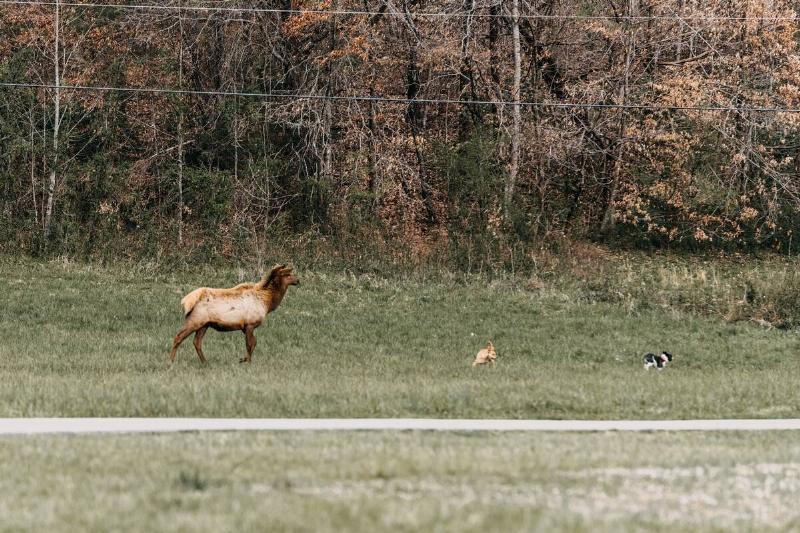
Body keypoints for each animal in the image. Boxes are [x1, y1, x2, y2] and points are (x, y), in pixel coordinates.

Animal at [170, 264, 299, 364]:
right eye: (287, 275)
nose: (298, 280)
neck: (267, 302)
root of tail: (187, 301)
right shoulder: (250, 324)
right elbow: (250, 344)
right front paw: (247, 361)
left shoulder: (245, 327)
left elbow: (254, 343)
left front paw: (244, 359)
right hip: (195, 320)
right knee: (178, 337)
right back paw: (171, 361)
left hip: (204, 324)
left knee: (197, 342)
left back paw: (205, 362)